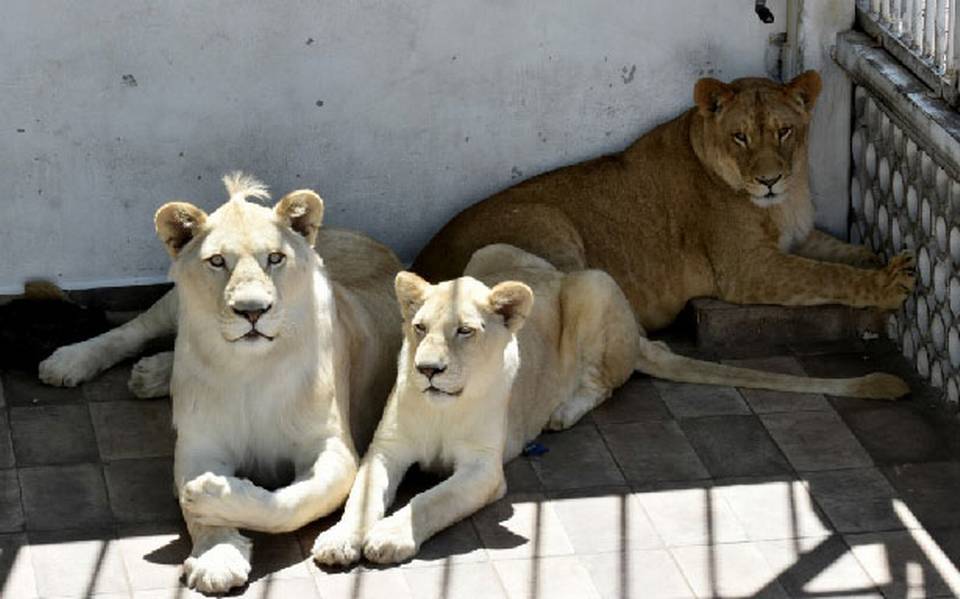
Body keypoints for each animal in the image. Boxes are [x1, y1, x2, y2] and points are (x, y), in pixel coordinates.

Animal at [40, 175, 402, 596]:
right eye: (216, 261)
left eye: (274, 258)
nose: (251, 310)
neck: (250, 368)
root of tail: (350, 233)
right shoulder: (200, 445)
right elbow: (204, 517)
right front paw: (217, 556)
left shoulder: (334, 449)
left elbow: (291, 504)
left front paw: (208, 493)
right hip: (172, 303)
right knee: (133, 330)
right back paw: (70, 361)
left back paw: (152, 374)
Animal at [314, 244, 908, 568]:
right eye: (418, 328)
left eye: (465, 332)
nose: (429, 370)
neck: (444, 406)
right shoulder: (385, 450)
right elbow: (361, 497)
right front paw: (342, 541)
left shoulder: (483, 472)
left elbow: (429, 501)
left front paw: (389, 537)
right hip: (491, 254)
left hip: (595, 287)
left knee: (609, 380)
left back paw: (562, 411)